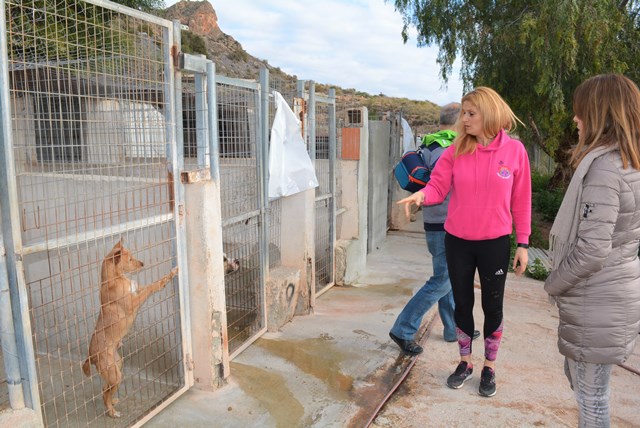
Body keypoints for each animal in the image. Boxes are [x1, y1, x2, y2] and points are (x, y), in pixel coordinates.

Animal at [82, 241, 179, 418]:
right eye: (130, 259)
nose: (143, 264)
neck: (115, 279)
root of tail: (91, 356)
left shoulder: (137, 289)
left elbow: (156, 283)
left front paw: (172, 273)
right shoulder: (134, 302)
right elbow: (151, 288)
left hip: (117, 367)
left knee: (105, 389)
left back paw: (112, 402)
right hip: (114, 374)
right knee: (105, 392)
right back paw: (112, 412)